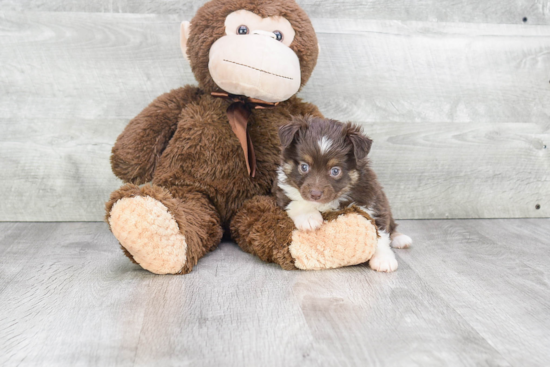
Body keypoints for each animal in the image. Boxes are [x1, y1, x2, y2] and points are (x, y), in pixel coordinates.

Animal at [274, 116, 412, 272]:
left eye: (335, 170)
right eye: (304, 167)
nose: (315, 194)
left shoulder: (374, 201)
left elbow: (379, 231)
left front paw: (383, 259)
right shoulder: (282, 189)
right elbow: (295, 200)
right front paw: (309, 219)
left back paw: (400, 238)